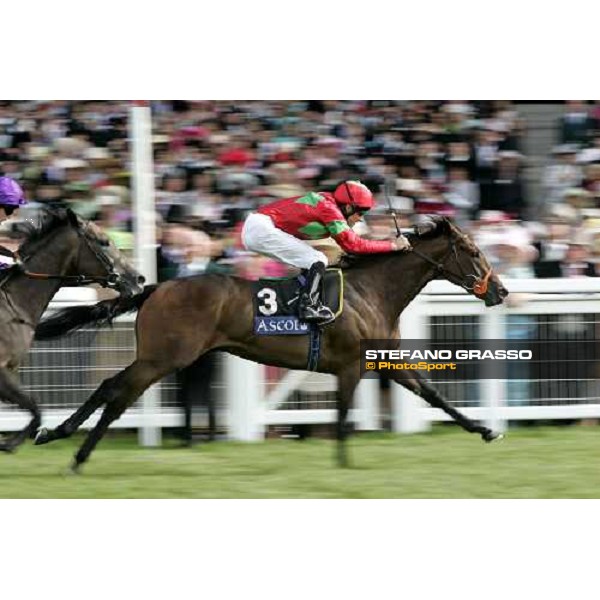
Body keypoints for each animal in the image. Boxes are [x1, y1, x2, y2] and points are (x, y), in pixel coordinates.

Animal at [0, 209, 144, 452]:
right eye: (104, 242)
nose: (138, 279)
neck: (13, 304)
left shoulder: (10, 370)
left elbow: (36, 412)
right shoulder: (2, 371)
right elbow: (35, 410)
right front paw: (10, 443)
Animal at [35, 213, 508, 472]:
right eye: (473, 251)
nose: (500, 291)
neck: (370, 292)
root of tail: (157, 286)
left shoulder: (383, 358)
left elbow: (433, 393)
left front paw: (486, 430)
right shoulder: (349, 366)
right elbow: (341, 415)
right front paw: (343, 463)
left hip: (162, 357)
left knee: (109, 387)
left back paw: (56, 434)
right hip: (164, 358)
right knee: (116, 393)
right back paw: (75, 453)